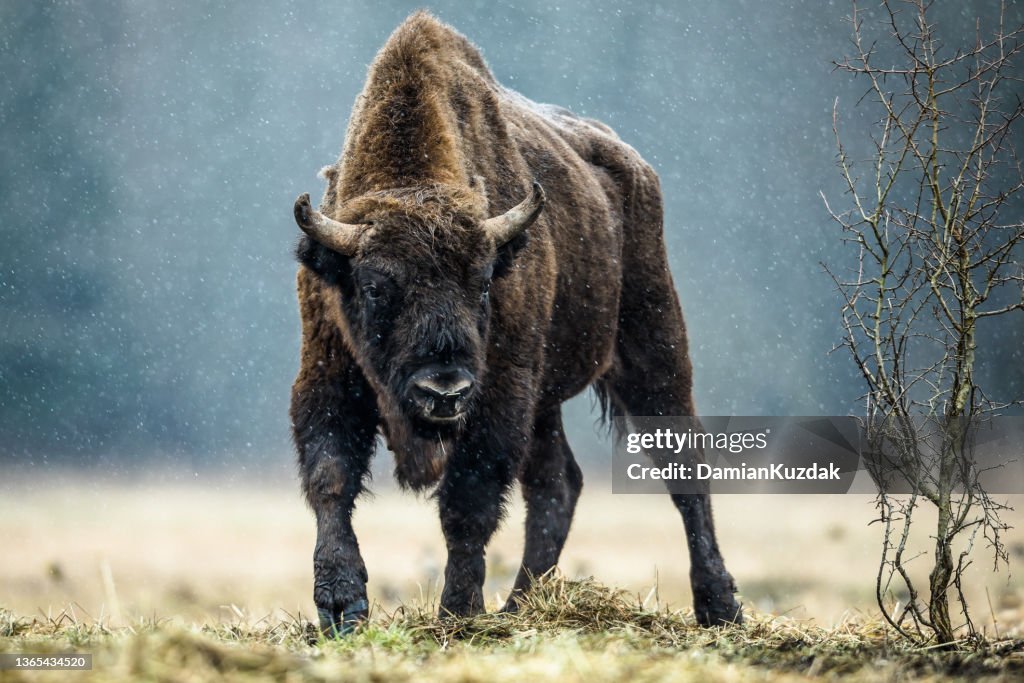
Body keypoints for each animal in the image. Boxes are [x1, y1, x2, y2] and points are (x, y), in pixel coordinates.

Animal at [290, 11, 741, 634]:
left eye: (483, 282)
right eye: (376, 286)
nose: (444, 390)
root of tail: (634, 167)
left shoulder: (500, 392)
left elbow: (469, 502)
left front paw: (458, 610)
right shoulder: (329, 372)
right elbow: (330, 477)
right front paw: (340, 606)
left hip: (653, 348)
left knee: (685, 468)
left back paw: (719, 606)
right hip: (547, 401)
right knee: (559, 484)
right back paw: (522, 604)